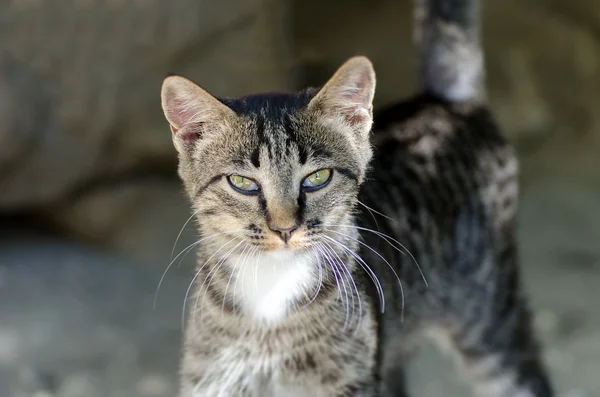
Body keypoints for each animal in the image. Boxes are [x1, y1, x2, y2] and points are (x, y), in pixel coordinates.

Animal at [158, 0, 552, 394]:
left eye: (318, 178)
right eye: (242, 182)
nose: (284, 229)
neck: (272, 291)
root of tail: (444, 103)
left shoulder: (352, 378)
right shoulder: (211, 377)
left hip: (490, 311)